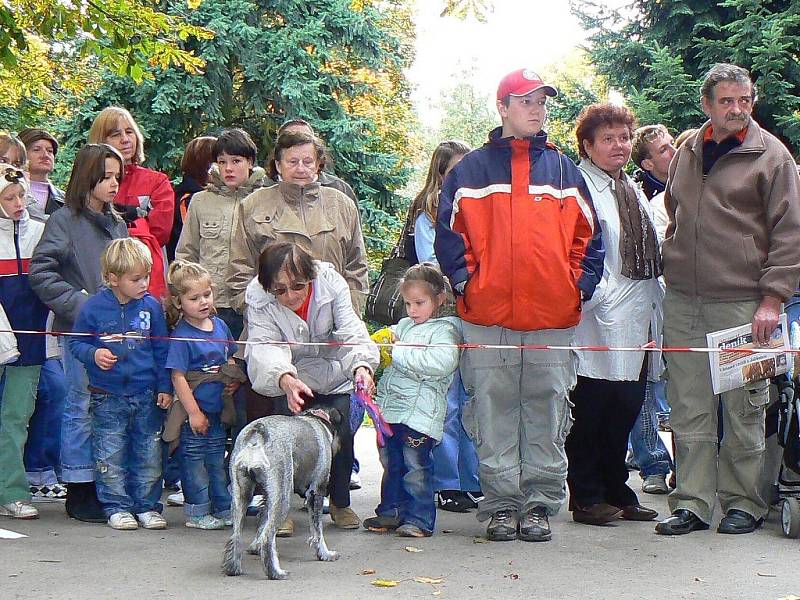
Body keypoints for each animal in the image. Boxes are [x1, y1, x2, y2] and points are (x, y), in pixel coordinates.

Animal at [222, 406, 340, 580]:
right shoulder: (316, 491)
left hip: (241, 496)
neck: (318, 421)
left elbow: (262, 519)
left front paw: (255, 547)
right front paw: (325, 554)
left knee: (236, 535)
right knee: (268, 537)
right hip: (283, 500)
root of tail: (257, 436)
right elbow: (317, 530)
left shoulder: (267, 496)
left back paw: (233, 568)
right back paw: (276, 572)